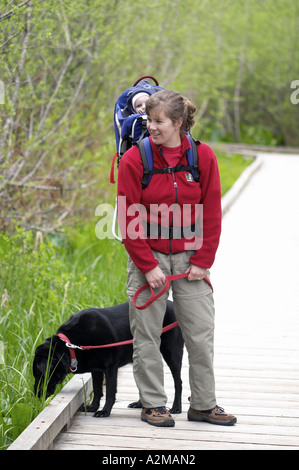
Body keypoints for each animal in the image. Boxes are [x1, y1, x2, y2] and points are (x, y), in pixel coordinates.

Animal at [34, 300, 185, 416]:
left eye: (41, 375)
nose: (36, 395)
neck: (72, 345)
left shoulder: (110, 367)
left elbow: (110, 392)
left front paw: (105, 411)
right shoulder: (96, 369)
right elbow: (98, 390)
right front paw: (93, 407)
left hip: (172, 354)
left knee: (178, 381)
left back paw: (176, 407)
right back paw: (140, 404)